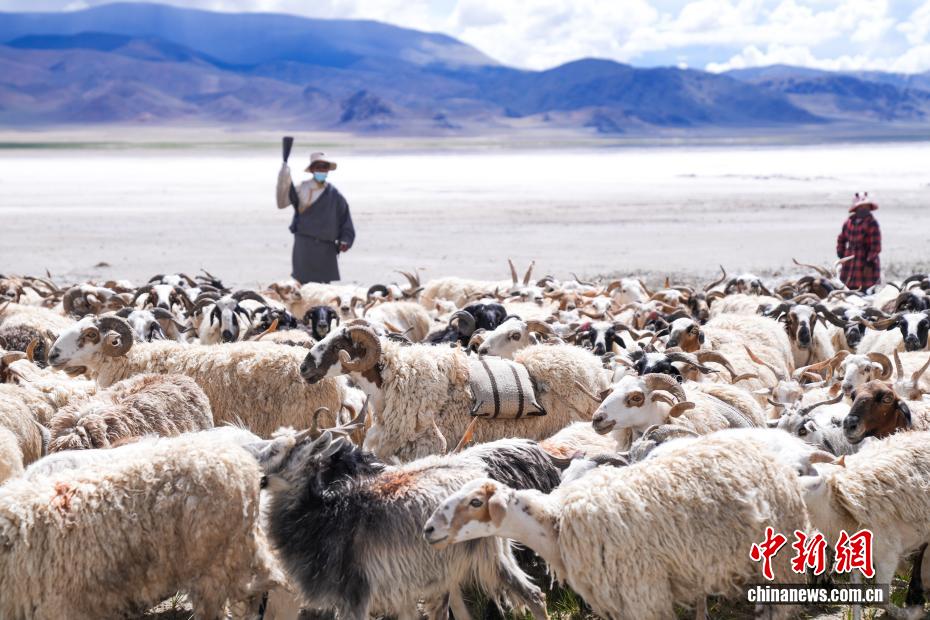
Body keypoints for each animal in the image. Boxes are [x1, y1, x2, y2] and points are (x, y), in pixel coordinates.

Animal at [247, 418, 561, 620]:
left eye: (277, 449)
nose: (249, 462)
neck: (322, 515)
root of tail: (482, 477)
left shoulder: (355, 593)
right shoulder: (398, 590)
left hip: (485, 557)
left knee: (532, 595)